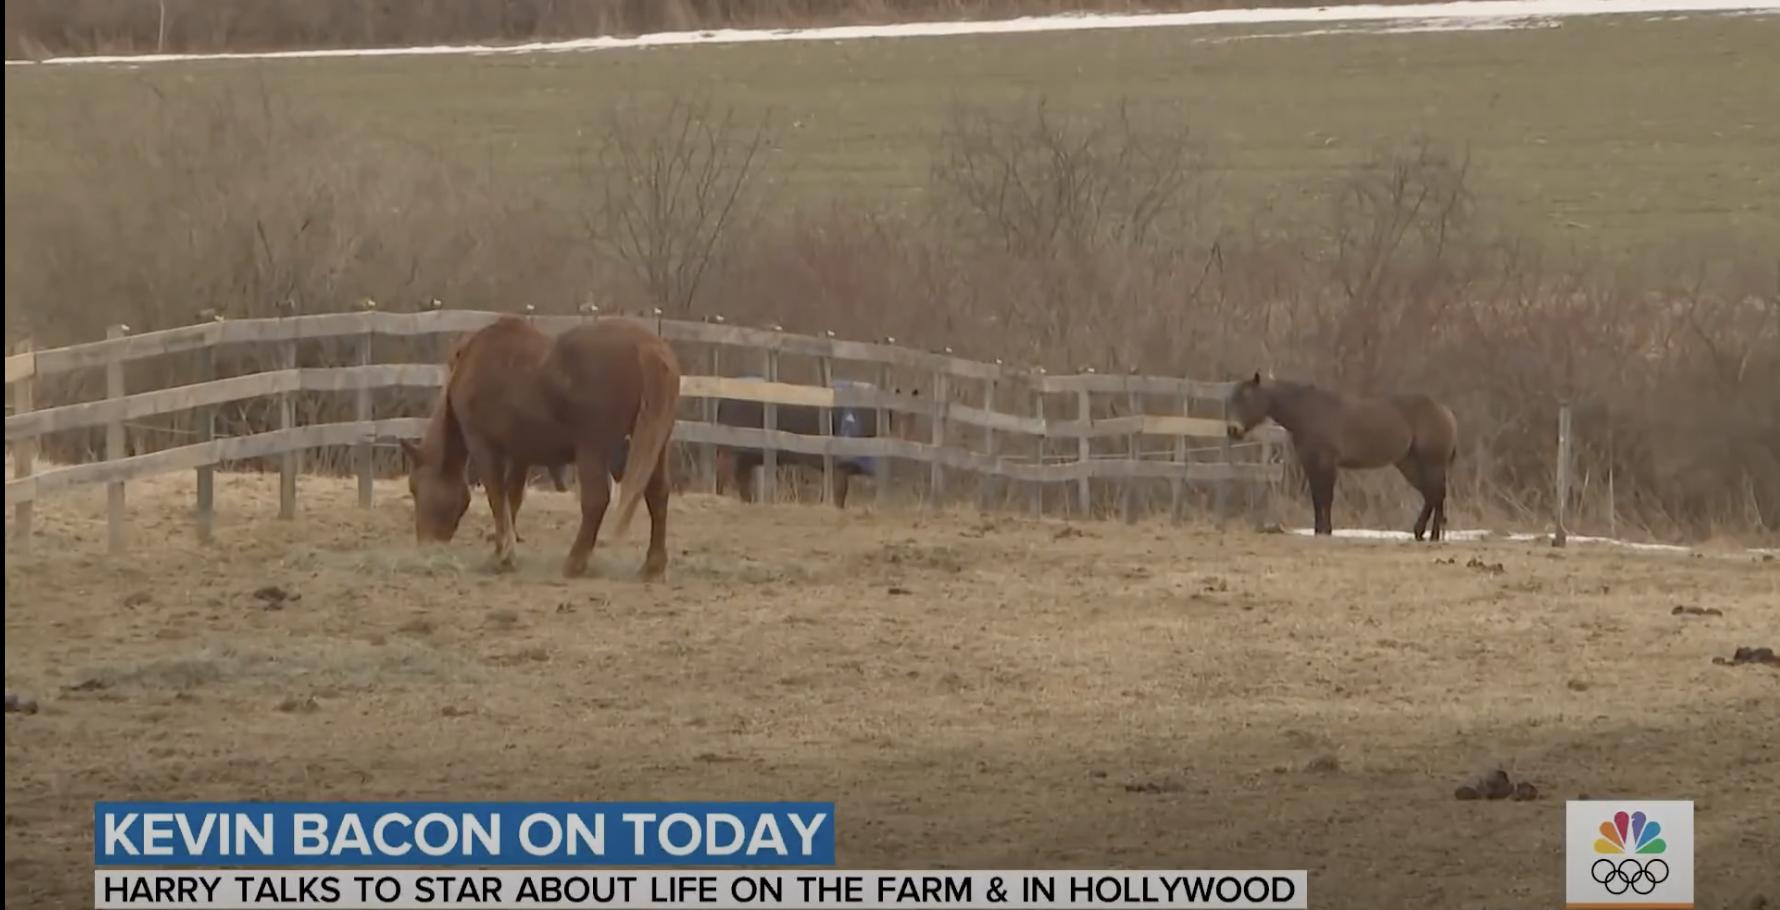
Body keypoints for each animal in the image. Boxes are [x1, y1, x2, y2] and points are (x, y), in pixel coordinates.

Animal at [402, 316, 679, 580]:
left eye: (415, 488)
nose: (424, 543)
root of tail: (649, 347)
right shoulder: (520, 455)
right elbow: (512, 499)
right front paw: (504, 552)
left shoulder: (484, 446)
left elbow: (497, 498)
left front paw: (503, 557)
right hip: (656, 445)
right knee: (657, 494)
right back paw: (652, 566)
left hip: (592, 449)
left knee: (596, 500)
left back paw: (575, 563)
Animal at [1224, 372, 1459, 541]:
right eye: (1232, 400)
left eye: (1247, 399)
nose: (1233, 430)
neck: (1308, 412)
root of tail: (1445, 411)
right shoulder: (1310, 464)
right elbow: (1317, 498)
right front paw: (1318, 530)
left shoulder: (1327, 463)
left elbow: (1326, 497)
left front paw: (1327, 530)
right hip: (1409, 464)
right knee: (1431, 495)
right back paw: (1421, 532)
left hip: (1432, 463)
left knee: (1437, 494)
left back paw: (1432, 535)